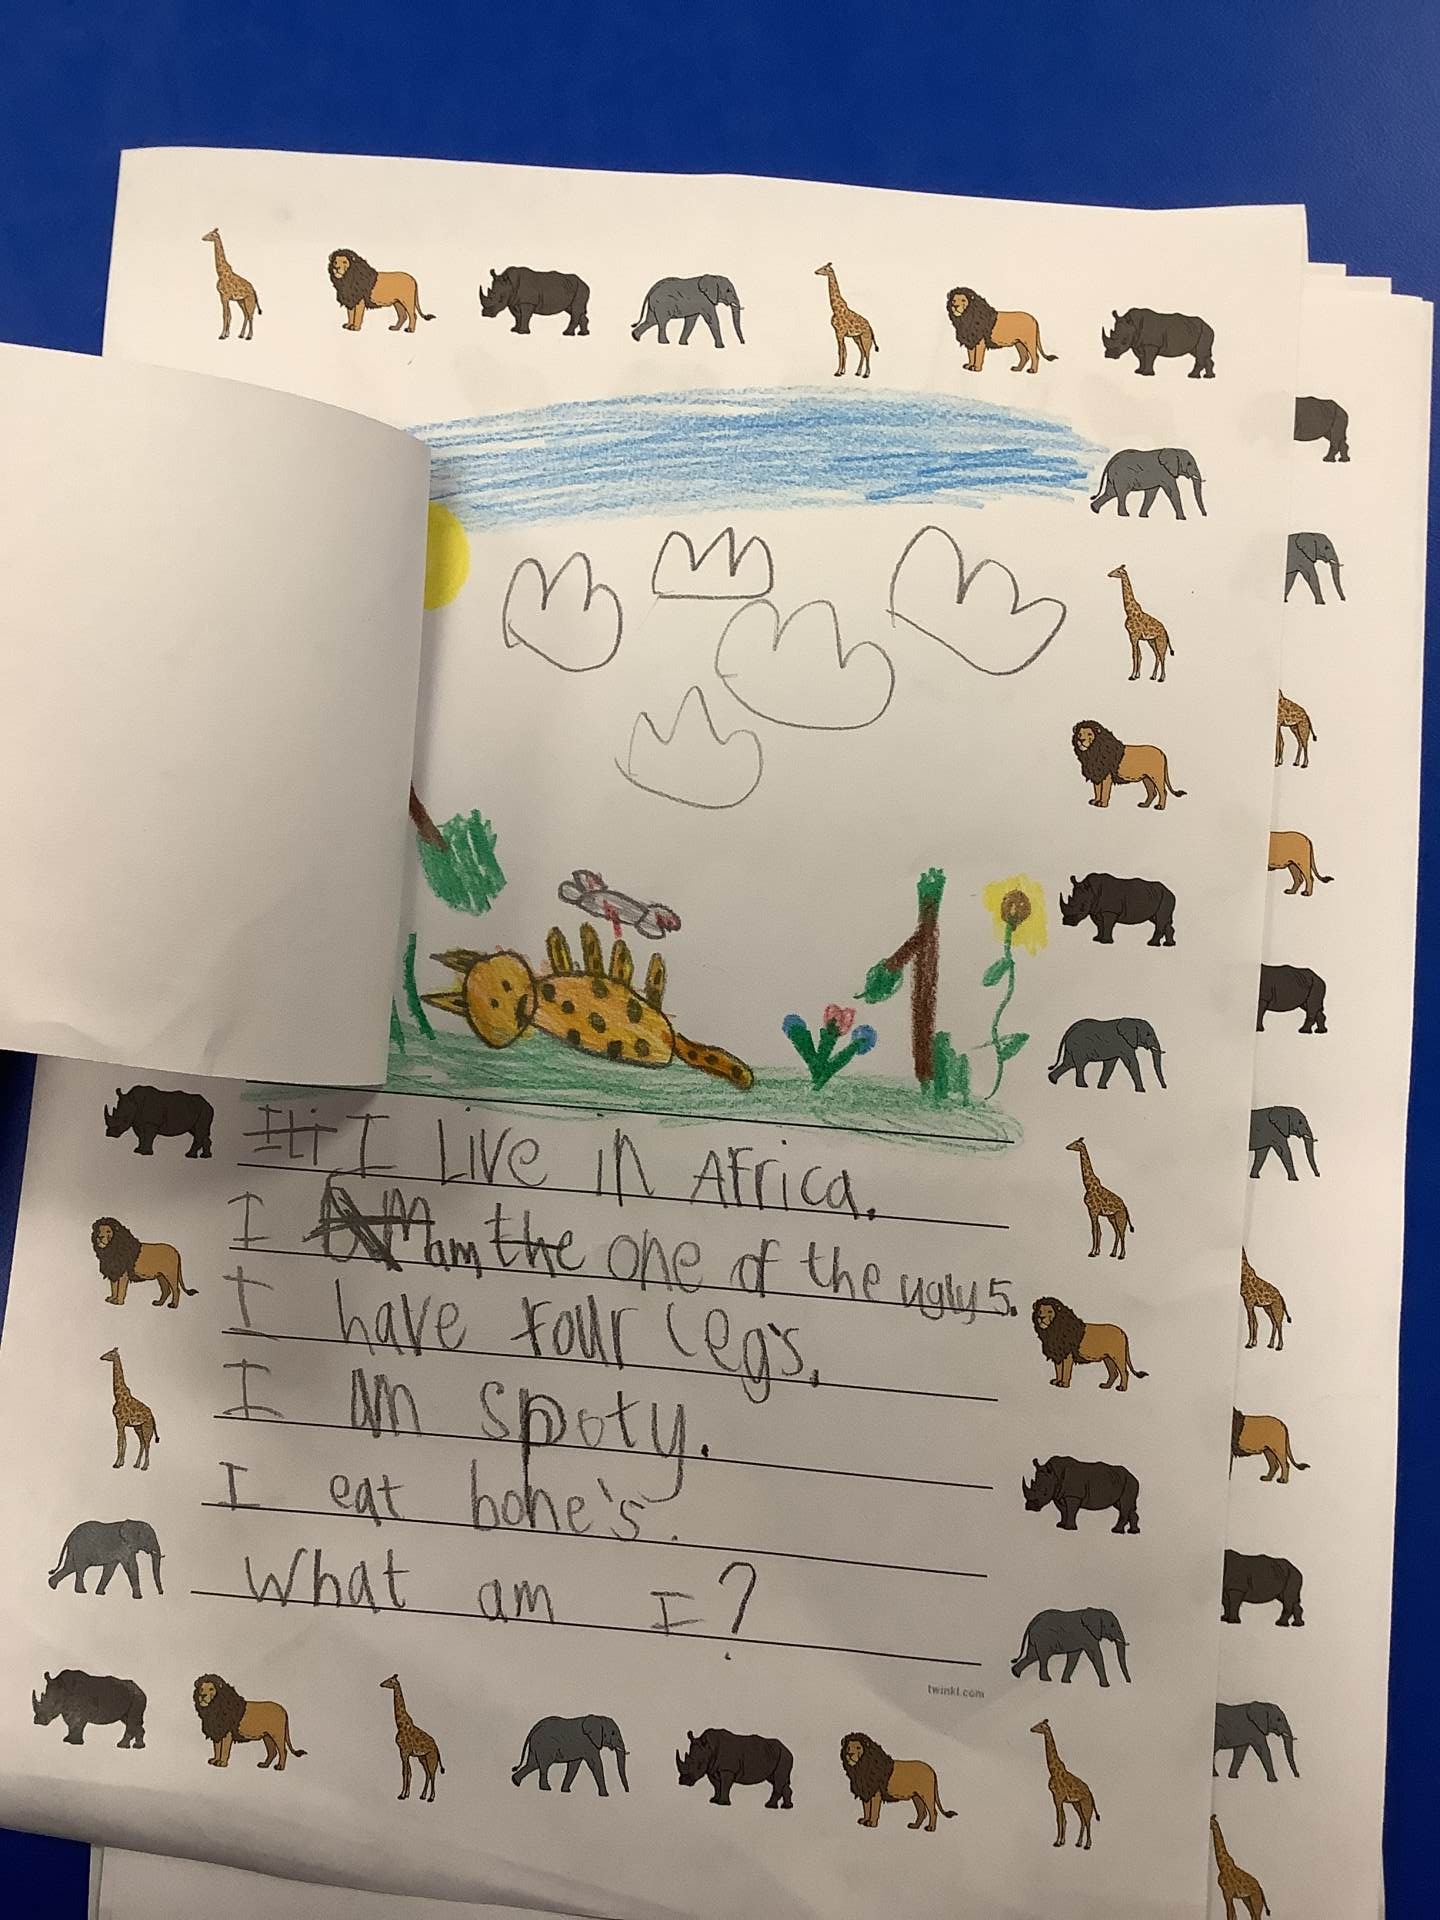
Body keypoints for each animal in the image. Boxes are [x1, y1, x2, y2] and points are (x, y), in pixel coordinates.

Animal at [380, 1674, 444, 1803]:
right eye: (387, 1679)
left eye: (390, 1681)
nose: (381, 1684)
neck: (400, 1724)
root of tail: (437, 1747)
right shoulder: (405, 1753)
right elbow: (408, 1772)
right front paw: (406, 1794)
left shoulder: (404, 1752)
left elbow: (405, 1772)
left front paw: (402, 1795)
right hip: (422, 1758)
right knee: (427, 1774)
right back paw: (422, 1796)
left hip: (431, 1757)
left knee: (432, 1774)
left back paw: (431, 1798)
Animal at [1029, 1719, 1098, 1850]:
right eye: (1037, 1723)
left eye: (1041, 1726)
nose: (1031, 1729)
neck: (1052, 1771)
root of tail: (1091, 1793)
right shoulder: (1056, 1797)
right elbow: (1061, 1819)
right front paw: (1061, 1841)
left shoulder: (1059, 1797)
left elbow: (1060, 1819)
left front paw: (1057, 1842)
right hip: (1076, 1803)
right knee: (1082, 1820)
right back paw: (1078, 1843)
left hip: (1085, 1803)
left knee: (1088, 1821)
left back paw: (1087, 1845)